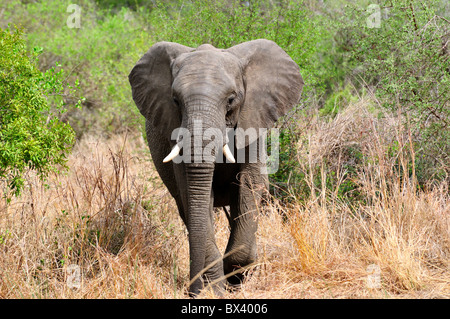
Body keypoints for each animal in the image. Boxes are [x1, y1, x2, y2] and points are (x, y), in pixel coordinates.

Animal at [128, 40, 304, 298]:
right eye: (175, 101)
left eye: (231, 99)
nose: (191, 291)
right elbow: (193, 196)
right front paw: (216, 289)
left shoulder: (253, 120)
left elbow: (249, 185)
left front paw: (237, 276)